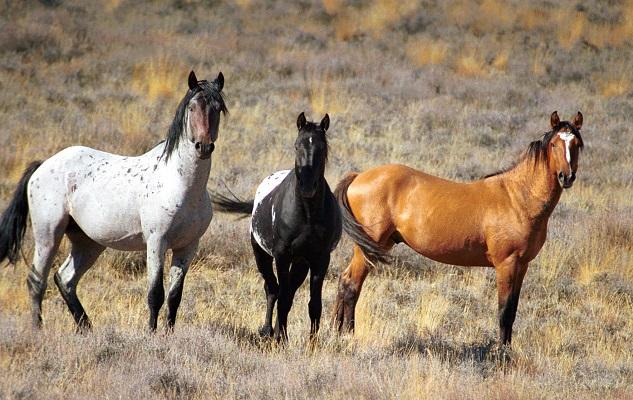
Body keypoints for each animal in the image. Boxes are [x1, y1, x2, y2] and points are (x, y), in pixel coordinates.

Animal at [212, 111, 340, 340]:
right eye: (297, 146)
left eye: (322, 148)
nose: (308, 187)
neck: (307, 213)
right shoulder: (282, 255)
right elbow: (282, 298)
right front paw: (281, 338)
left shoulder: (320, 258)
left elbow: (314, 304)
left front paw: (312, 342)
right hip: (262, 255)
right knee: (272, 289)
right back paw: (267, 330)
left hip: (300, 263)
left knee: (285, 291)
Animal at [334, 111, 584, 344]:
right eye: (554, 144)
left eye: (577, 145)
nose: (567, 177)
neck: (518, 197)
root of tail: (358, 176)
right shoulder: (507, 264)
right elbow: (503, 312)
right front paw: (502, 354)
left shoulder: (522, 265)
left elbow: (512, 311)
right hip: (368, 248)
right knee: (351, 285)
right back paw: (348, 336)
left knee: (345, 281)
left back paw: (335, 332)